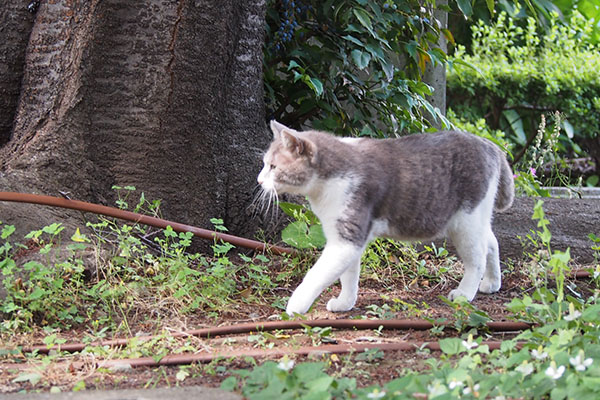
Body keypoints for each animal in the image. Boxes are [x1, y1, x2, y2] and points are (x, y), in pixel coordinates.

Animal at [258, 120, 516, 314]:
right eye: (265, 165)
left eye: (273, 167)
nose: (259, 180)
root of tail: (490, 145)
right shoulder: (347, 236)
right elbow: (348, 276)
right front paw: (345, 303)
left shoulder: (346, 239)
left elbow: (317, 274)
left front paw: (295, 305)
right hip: (477, 217)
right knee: (491, 242)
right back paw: (492, 282)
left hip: (466, 221)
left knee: (477, 257)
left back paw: (464, 293)